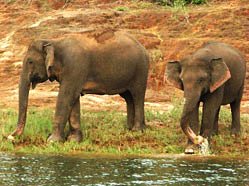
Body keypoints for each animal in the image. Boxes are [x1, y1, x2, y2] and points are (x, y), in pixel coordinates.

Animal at [7, 31, 149, 142]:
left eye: (30, 62)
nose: (10, 137)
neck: (53, 41)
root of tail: (143, 47)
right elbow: (73, 99)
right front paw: (73, 140)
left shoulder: (75, 66)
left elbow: (66, 96)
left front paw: (52, 141)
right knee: (128, 97)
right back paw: (129, 129)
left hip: (141, 71)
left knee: (137, 95)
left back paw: (137, 131)